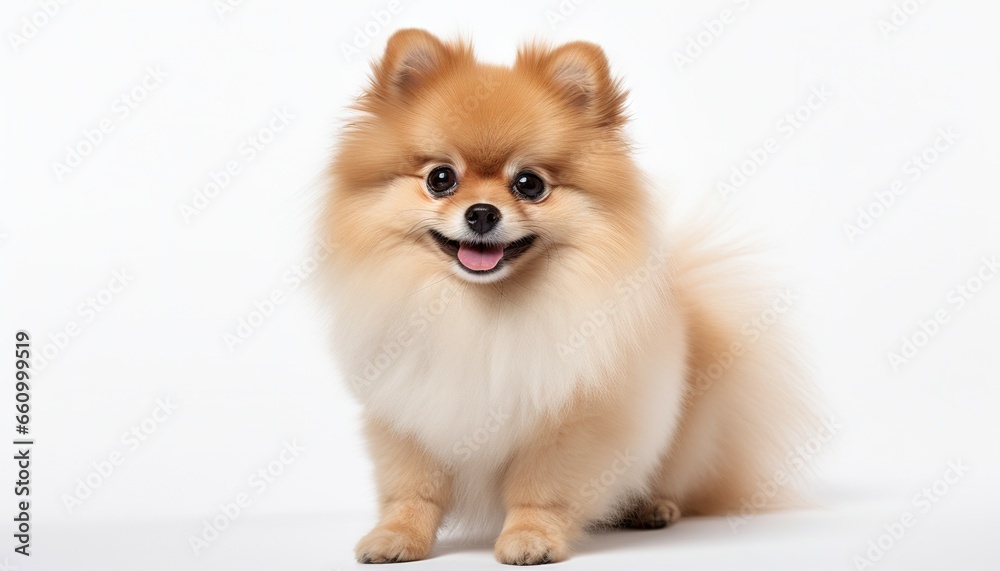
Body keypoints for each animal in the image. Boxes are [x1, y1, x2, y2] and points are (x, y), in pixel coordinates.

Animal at [320, 29, 820, 564]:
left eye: (529, 183)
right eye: (440, 178)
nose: (481, 212)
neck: (479, 311)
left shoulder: (566, 423)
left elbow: (539, 491)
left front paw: (531, 538)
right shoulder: (408, 411)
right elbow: (413, 489)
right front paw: (397, 536)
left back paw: (652, 507)